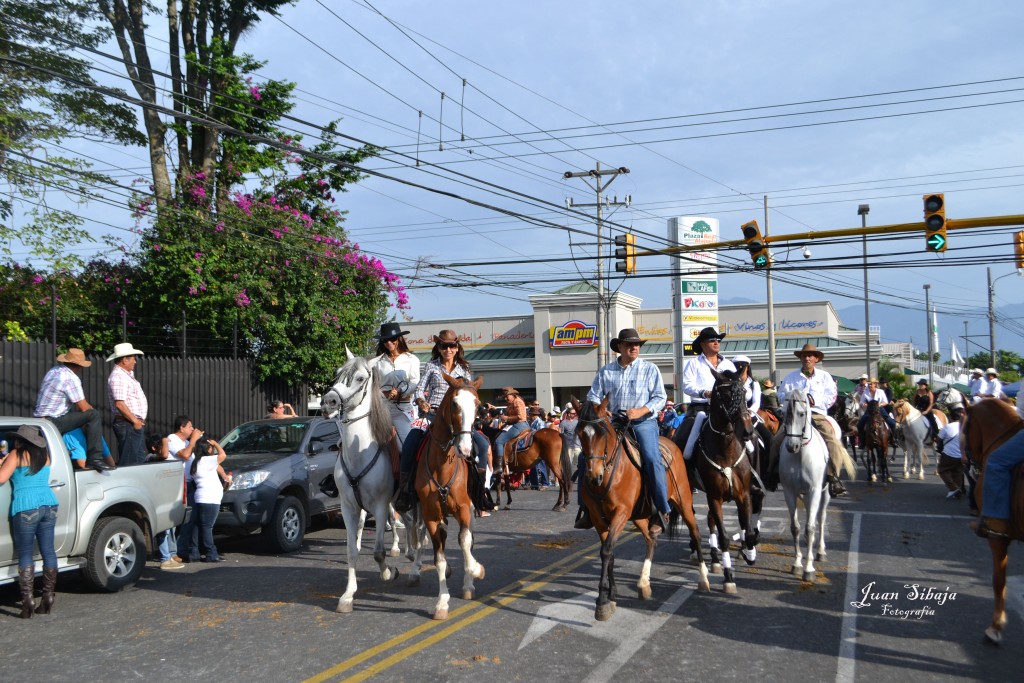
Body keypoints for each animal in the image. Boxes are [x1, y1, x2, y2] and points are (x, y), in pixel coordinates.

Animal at [319, 352, 399, 614]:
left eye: (361, 378)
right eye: (336, 373)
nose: (329, 402)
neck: (359, 453)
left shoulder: (381, 506)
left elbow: (378, 552)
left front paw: (389, 573)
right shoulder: (349, 507)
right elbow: (352, 550)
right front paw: (347, 596)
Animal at [413, 376, 485, 622]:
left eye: (478, 405)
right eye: (454, 404)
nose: (465, 448)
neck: (442, 466)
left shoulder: (463, 507)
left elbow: (464, 541)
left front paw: (476, 571)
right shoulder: (431, 516)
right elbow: (440, 558)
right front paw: (442, 603)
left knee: (469, 540)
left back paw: (469, 583)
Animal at [573, 397, 708, 622]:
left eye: (602, 433)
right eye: (580, 432)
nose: (593, 476)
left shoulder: (620, 514)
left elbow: (607, 550)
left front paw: (602, 602)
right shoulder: (598, 519)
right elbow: (608, 553)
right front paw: (612, 595)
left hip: (683, 502)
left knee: (695, 532)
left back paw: (704, 578)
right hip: (640, 516)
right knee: (651, 539)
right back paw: (644, 583)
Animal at [782, 389, 831, 581]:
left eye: (802, 414)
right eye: (784, 414)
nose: (792, 446)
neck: (801, 455)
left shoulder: (815, 491)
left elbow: (810, 528)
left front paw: (809, 569)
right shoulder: (789, 492)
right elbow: (795, 527)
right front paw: (797, 563)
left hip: (824, 493)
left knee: (821, 518)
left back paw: (821, 551)